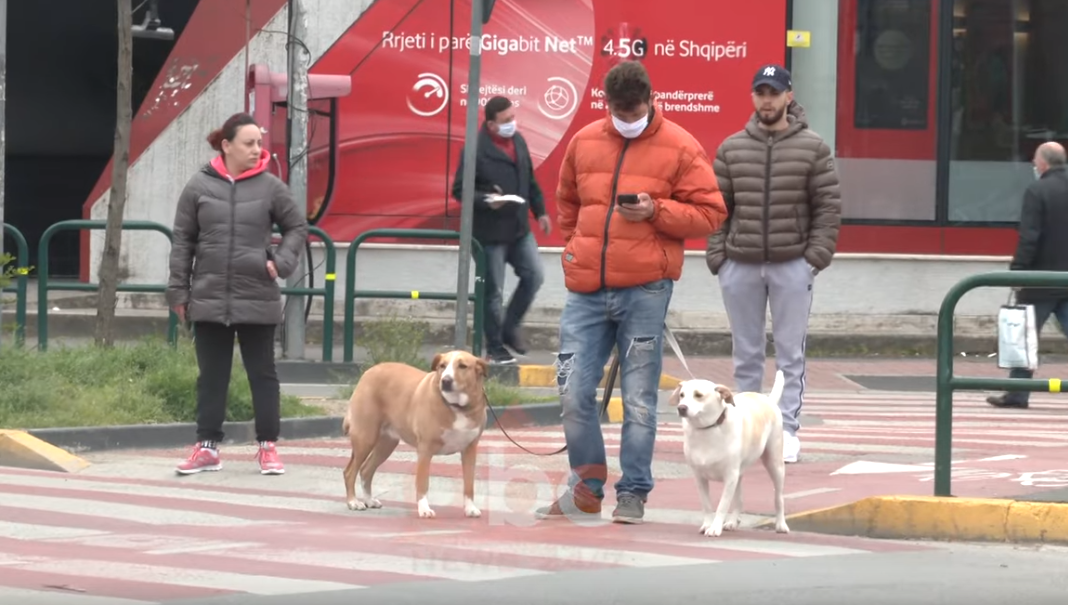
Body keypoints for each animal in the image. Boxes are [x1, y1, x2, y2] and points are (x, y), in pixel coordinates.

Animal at [343, 352, 489, 519]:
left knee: (366, 470)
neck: (457, 407)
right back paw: (353, 502)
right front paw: (424, 509)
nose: (445, 381)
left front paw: (470, 508)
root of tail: (369, 372)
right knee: (350, 472)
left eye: (463, 366)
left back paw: (368, 500)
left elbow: (469, 483)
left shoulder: (470, 450)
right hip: (365, 438)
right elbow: (422, 483)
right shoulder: (425, 450)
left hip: (386, 444)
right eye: (442, 366)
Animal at [670, 371, 790, 538]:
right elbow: (707, 505)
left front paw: (714, 528)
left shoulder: (730, 476)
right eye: (681, 395)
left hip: (774, 464)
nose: (681, 408)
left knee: (778, 497)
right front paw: (707, 525)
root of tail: (767, 400)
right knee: (738, 500)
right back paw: (733, 522)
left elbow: (722, 505)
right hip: (739, 474)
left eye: (698, 395)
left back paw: (780, 524)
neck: (708, 428)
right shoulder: (700, 478)